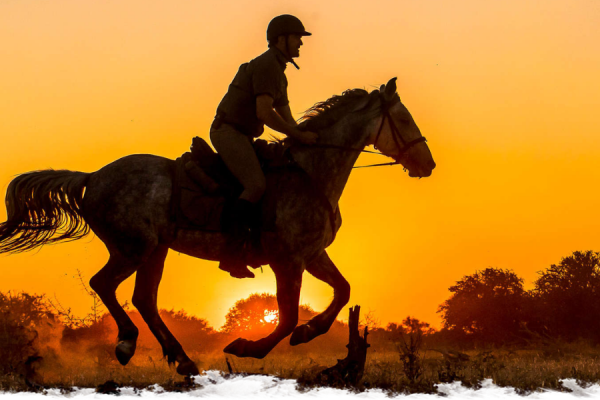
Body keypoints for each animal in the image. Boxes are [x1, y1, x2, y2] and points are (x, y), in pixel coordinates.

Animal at [0, 77, 436, 376]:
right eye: (403, 118)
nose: (427, 164)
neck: (311, 172)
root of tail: (92, 177)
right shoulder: (287, 259)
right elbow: (287, 316)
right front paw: (248, 347)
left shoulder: (312, 254)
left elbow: (342, 291)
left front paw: (310, 332)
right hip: (133, 247)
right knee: (105, 284)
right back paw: (127, 345)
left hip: (154, 249)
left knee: (143, 298)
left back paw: (182, 359)